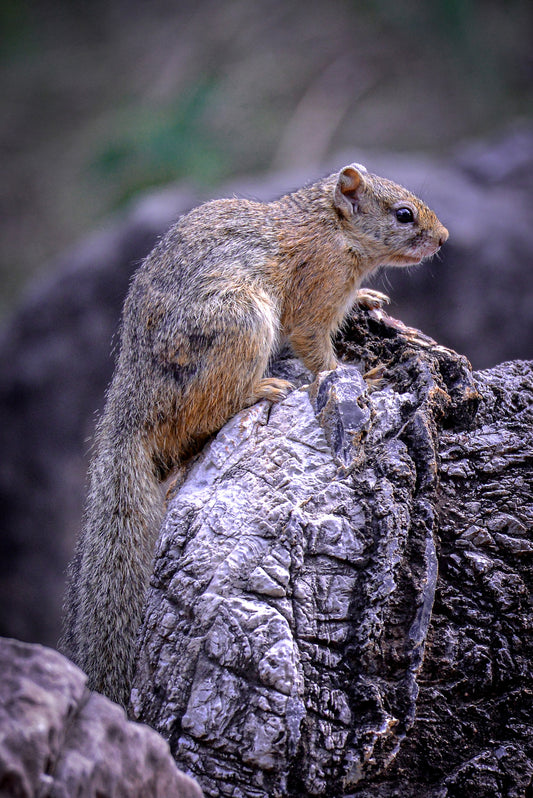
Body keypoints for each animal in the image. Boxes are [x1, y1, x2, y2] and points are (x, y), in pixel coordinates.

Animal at [60, 163, 448, 708]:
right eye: (404, 214)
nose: (443, 237)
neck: (331, 228)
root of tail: (134, 407)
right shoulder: (316, 288)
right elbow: (316, 347)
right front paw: (360, 375)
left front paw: (368, 299)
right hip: (239, 325)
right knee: (204, 417)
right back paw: (261, 389)